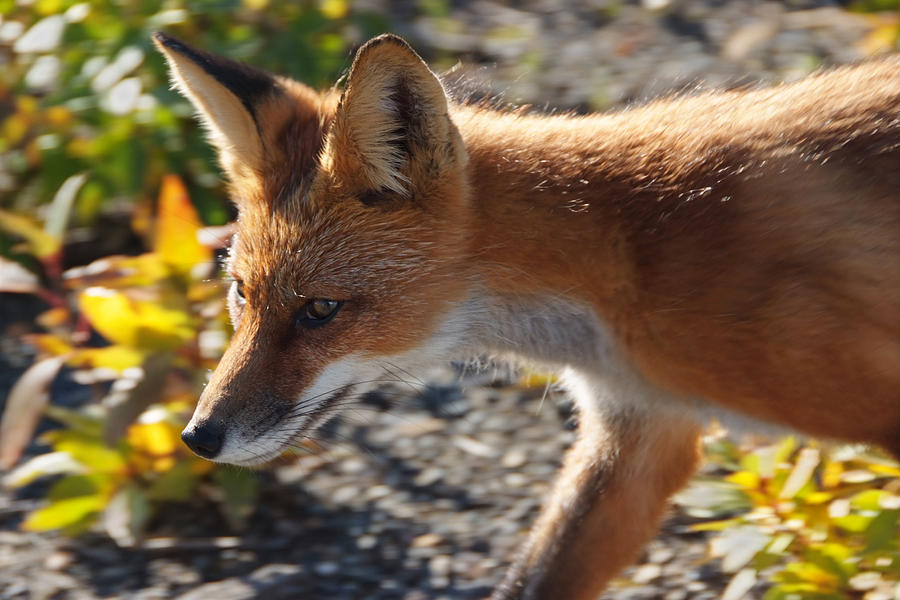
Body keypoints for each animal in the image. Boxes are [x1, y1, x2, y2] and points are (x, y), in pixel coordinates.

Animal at [155, 31, 900, 600]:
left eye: (320, 309)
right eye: (241, 294)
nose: (198, 437)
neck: (631, 251)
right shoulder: (639, 426)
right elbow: (534, 580)